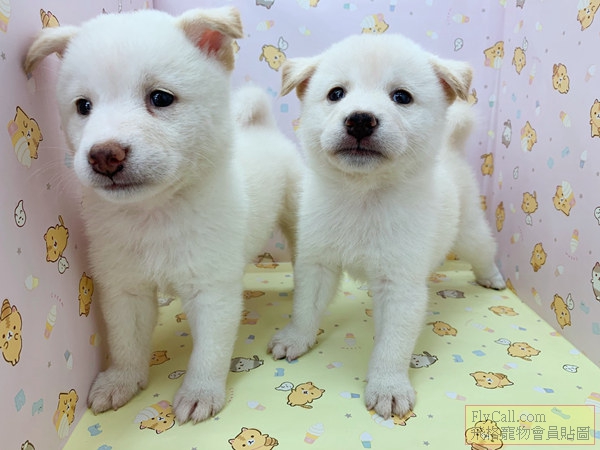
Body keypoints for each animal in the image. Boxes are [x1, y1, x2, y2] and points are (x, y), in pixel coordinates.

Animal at [25, 7, 301, 423]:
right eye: (83, 106)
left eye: (160, 98)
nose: (104, 154)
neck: (154, 214)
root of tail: (264, 128)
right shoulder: (124, 289)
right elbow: (125, 341)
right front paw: (122, 380)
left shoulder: (212, 291)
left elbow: (209, 351)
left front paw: (200, 391)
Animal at [267, 33, 505, 420]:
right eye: (336, 93)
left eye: (402, 97)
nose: (360, 120)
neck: (362, 199)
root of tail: (451, 151)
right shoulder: (317, 262)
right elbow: (305, 307)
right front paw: (295, 338)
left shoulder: (400, 285)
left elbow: (393, 345)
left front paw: (388, 386)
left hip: (469, 231)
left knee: (484, 251)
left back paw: (492, 277)